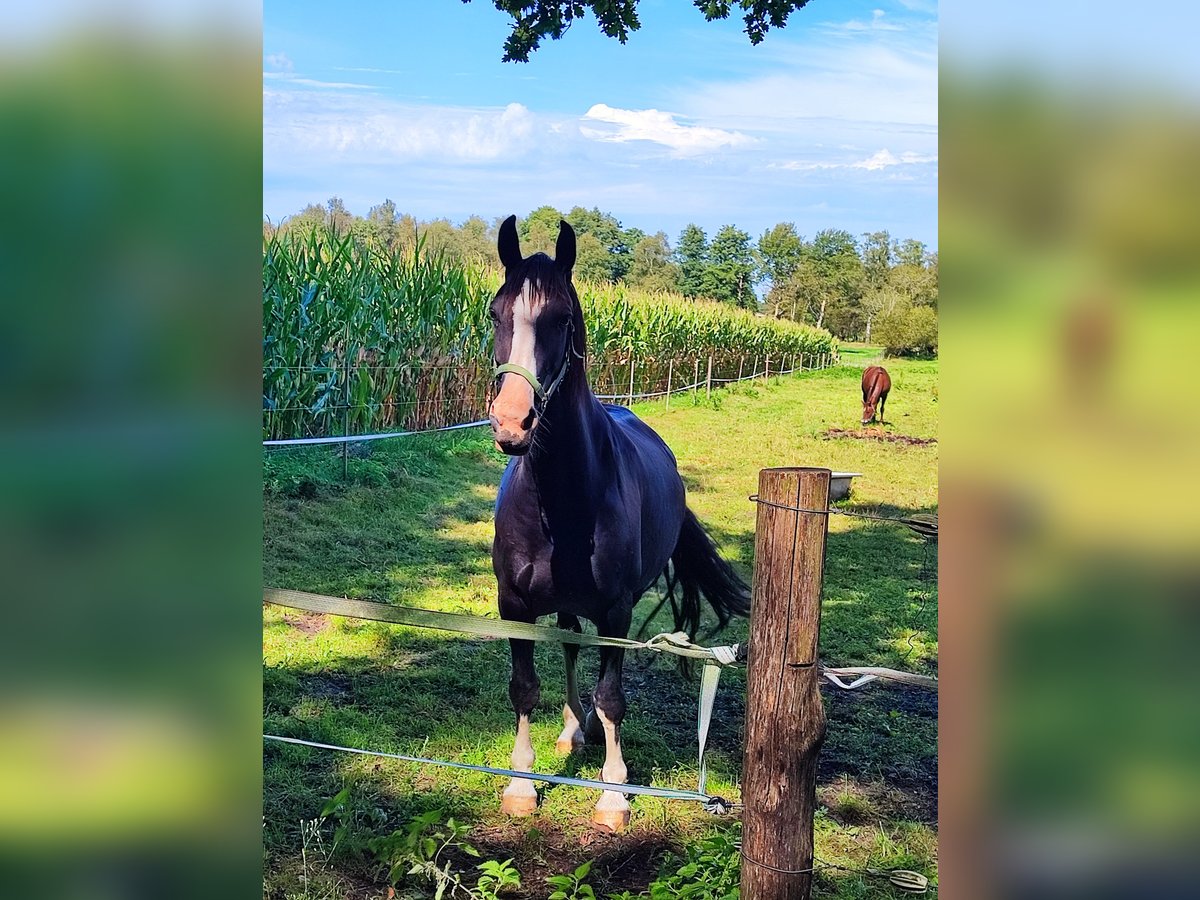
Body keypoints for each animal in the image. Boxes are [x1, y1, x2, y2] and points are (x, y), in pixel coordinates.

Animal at [487, 217, 748, 830]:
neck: (560, 506)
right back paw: (569, 729)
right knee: (568, 645)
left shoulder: (615, 611)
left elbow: (612, 699)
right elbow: (523, 688)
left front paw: (612, 794)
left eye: (562, 319)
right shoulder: (515, 605)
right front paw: (521, 785)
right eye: (495, 312)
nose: (512, 423)